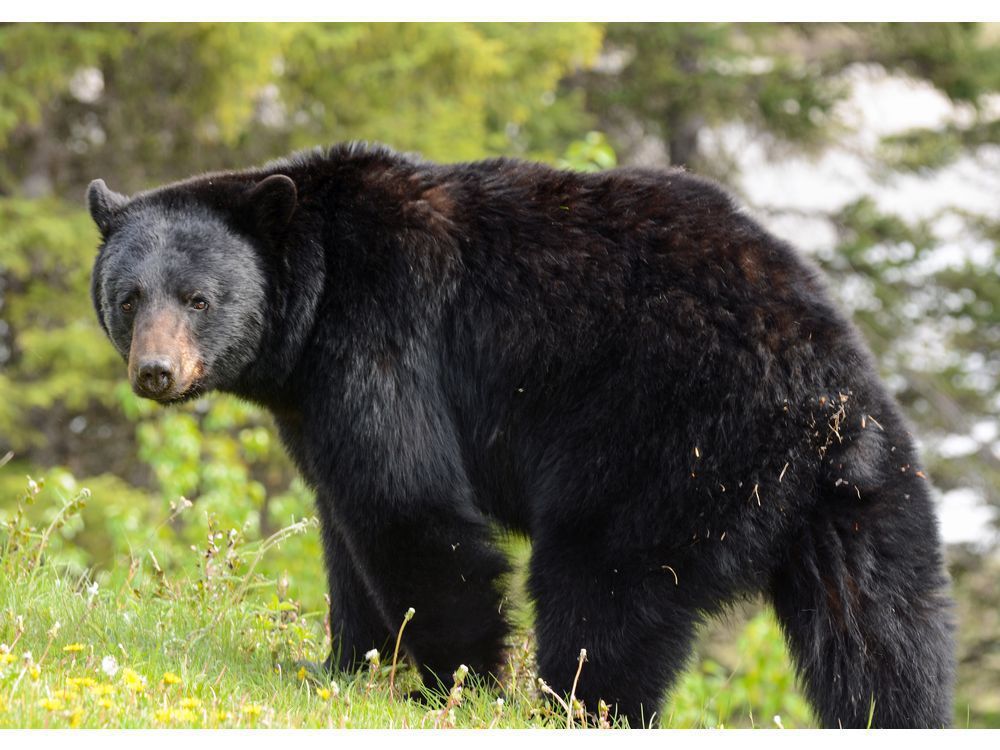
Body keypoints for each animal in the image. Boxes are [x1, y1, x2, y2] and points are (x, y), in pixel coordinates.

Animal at [88, 141, 952, 728]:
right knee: (884, 634)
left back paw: (567, 709)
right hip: (869, 502)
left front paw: (451, 683)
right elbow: (345, 524)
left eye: (199, 299)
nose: (156, 371)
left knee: (602, 587)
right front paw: (340, 664)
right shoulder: (310, 396)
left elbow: (408, 505)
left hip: (667, 439)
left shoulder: (382, 334)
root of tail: (826, 404)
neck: (314, 296)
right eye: (128, 297)